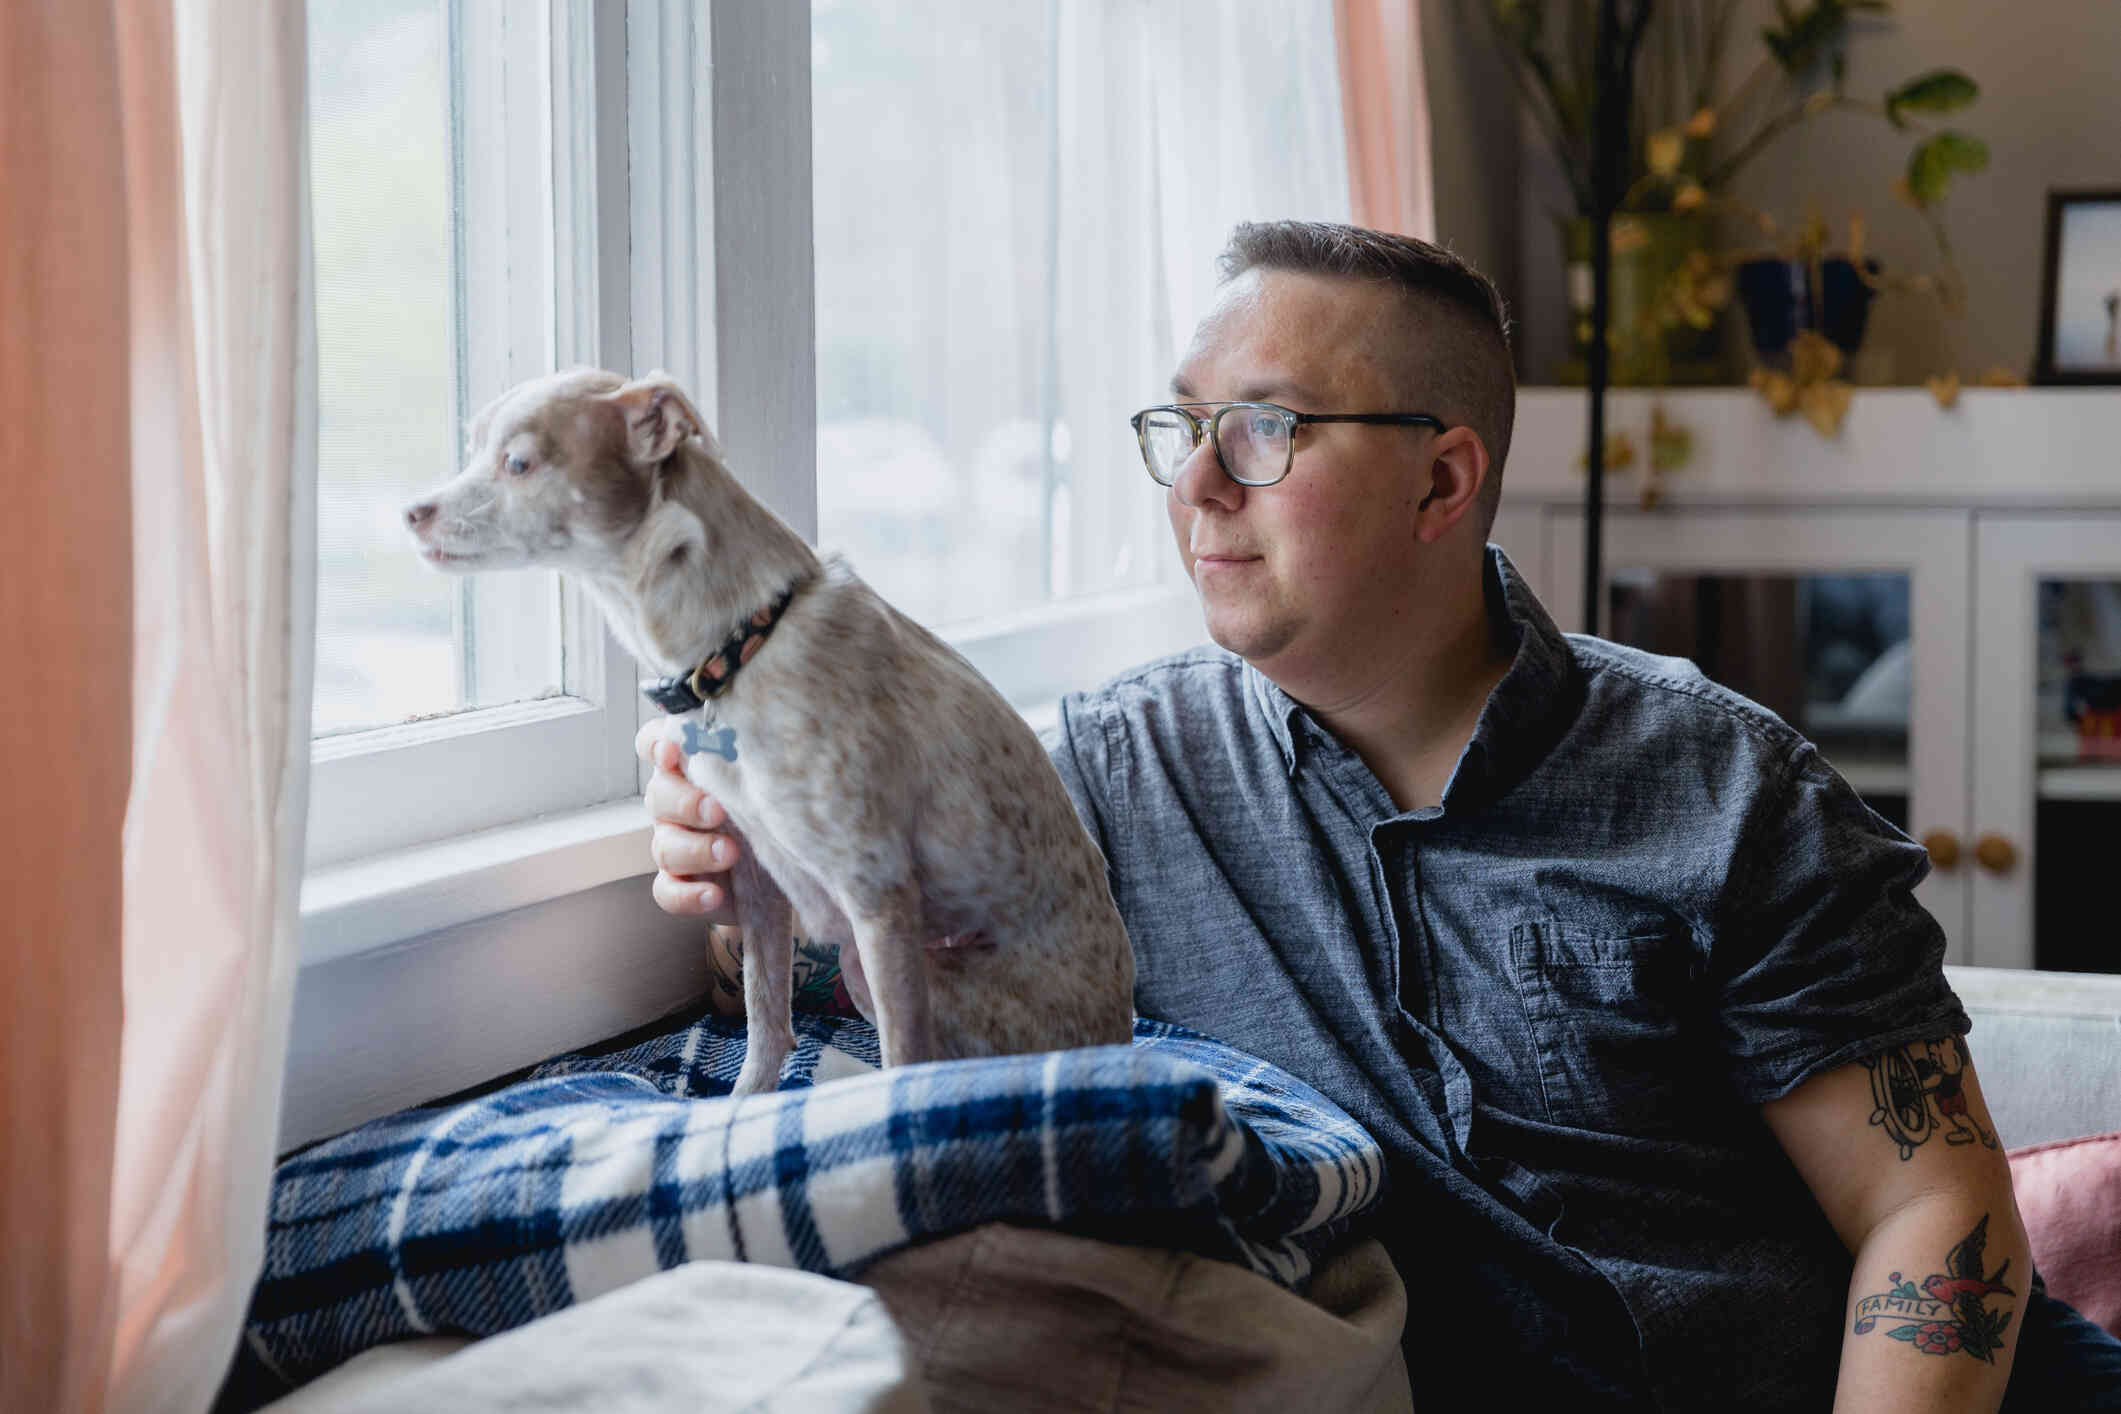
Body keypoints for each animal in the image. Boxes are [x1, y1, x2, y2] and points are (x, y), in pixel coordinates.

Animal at [405, 368, 1136, 1093]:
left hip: (894, 967)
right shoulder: (757, 873)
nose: (411, 512)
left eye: (518, 463)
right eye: (471, 447)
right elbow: (766, 1021)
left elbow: (900, 1061)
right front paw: (742, 1106)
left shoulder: (878, 901)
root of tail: (1118, 1036)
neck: (740, 647)